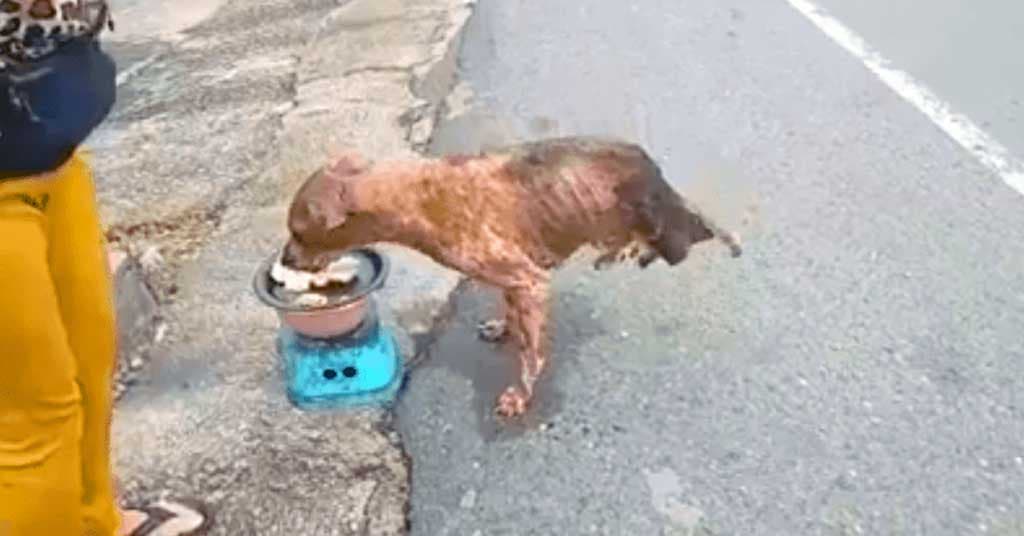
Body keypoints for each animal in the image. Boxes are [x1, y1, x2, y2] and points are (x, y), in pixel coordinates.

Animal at [284, 136, 741, 418]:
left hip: (667, 230)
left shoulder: (529, 281)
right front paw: (504, 328)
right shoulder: (514, 282)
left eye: (298, 232)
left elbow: (530, 354)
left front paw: (521, 394)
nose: (285, 259)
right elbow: (512, 318)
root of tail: (650, 166)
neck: (416, 197)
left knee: (695, 234)